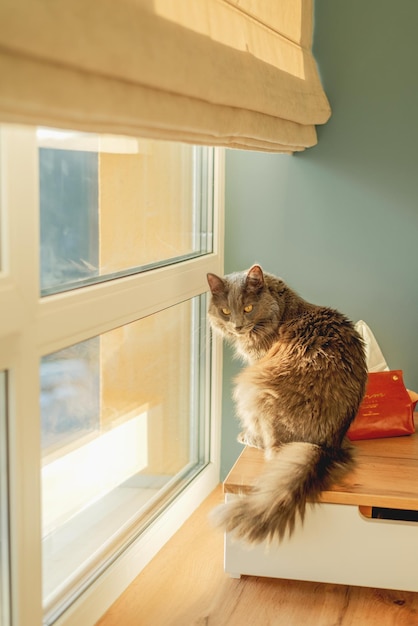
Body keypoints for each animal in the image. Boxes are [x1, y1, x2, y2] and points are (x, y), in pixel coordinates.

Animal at [207, 264, 368, 540]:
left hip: (252, 387)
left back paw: (248, 437)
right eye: (225, 311)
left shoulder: (256, 361)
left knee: (269, 448)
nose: (238, 326)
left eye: (248, 308)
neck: (281, 308)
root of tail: (326, 445)